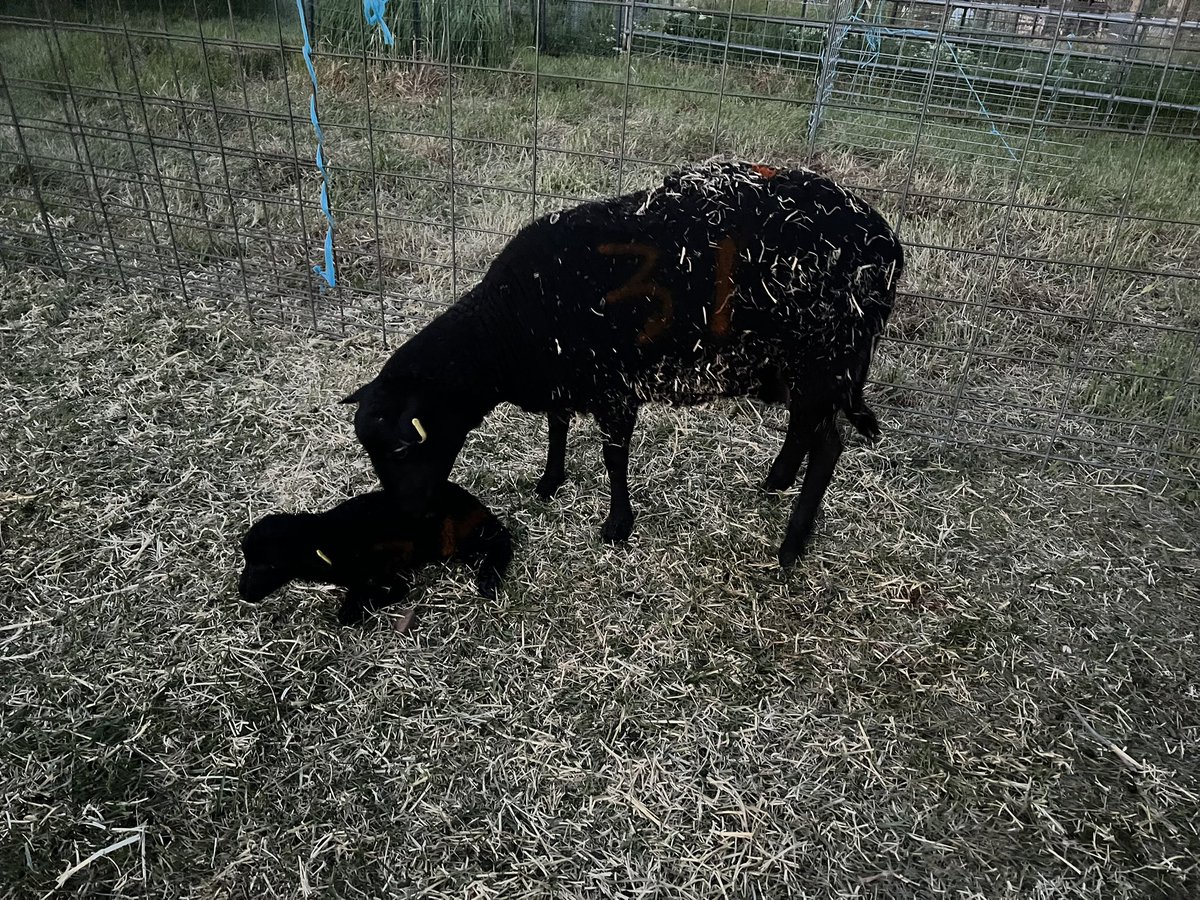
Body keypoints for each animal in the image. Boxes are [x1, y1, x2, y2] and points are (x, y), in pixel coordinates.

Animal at [238, 482, 512, 625]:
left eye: (270, 565)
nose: (244, 593)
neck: (328, 542)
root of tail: (473, 501)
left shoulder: (388, 568)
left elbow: (394, 592)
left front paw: (361, 608)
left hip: (452, 536)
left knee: (503, 538)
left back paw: (488, 579)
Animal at [343, 160, 904, 566]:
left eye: (401, 447)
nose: (406, 518)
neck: (508, 324)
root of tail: (887, 241)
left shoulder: (612, 386)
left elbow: (613, 457)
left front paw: (616, 525)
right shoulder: (566, 375)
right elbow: (557, 425)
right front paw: (550, 481)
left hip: (824, 355)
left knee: (827, 443)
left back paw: (791, 545)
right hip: (795, 363)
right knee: (808, 427)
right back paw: (777, 479)